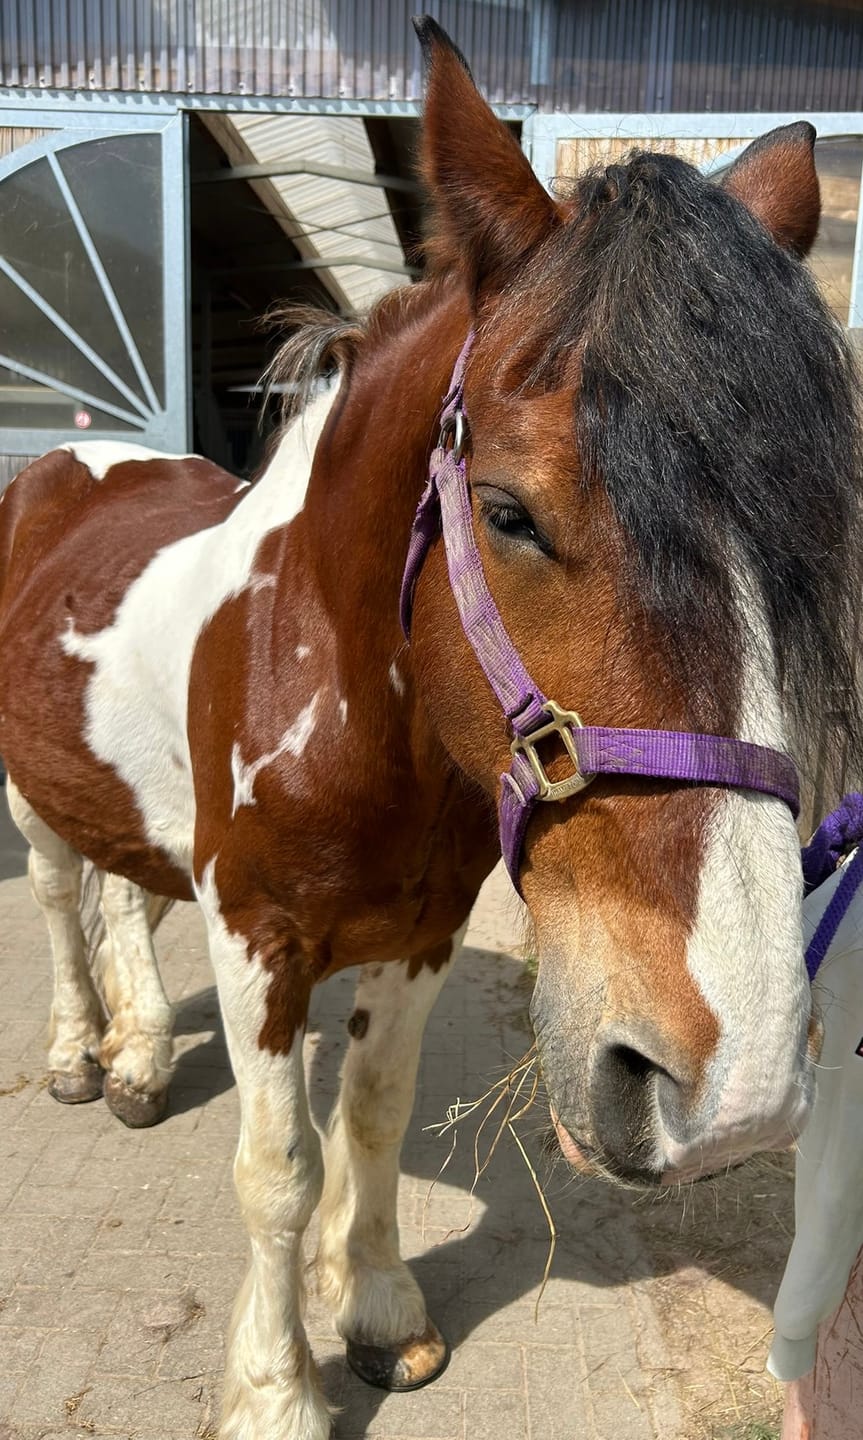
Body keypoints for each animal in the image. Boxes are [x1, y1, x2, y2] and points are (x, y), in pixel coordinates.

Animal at [1, 16, 861, 1439]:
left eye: (812, 538)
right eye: (508, 513)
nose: (733, 1091)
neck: (339, 690)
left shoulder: (416, 935)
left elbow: (372, 1119)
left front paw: (379, 1312)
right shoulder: (259, 938)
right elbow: (278, 1167)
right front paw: (273, 1391)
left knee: (123, 895)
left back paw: (135, 1058)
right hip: (32, 796)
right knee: (68, 898)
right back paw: (81, 1051)